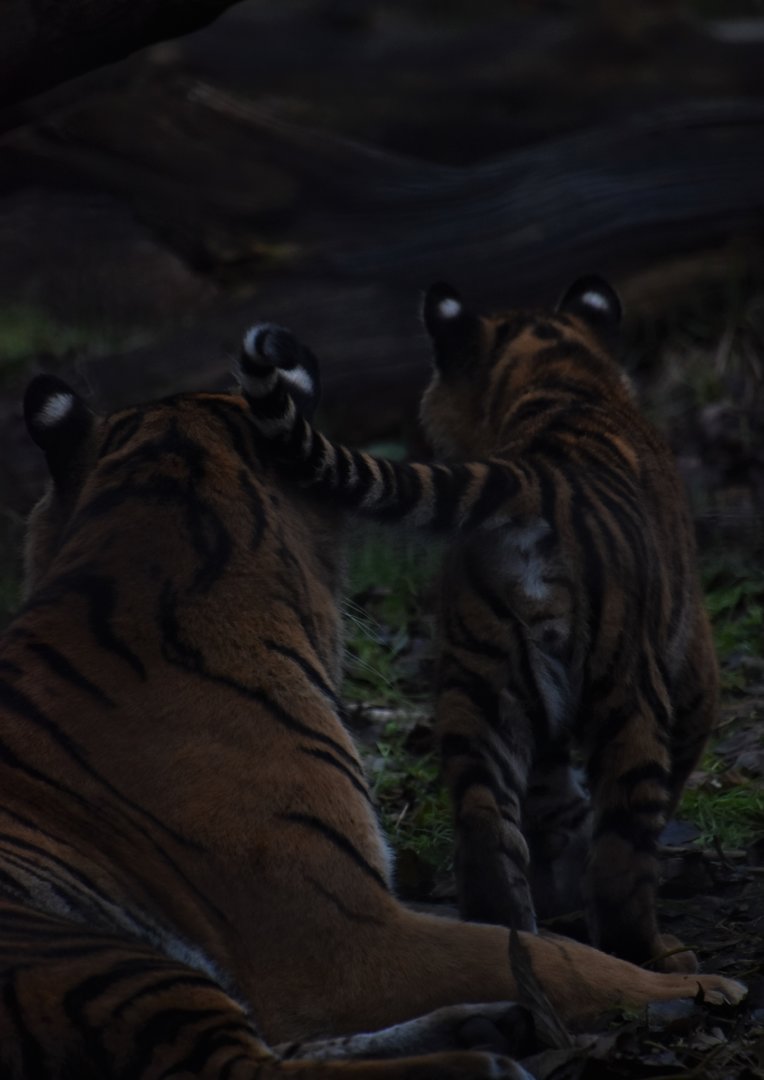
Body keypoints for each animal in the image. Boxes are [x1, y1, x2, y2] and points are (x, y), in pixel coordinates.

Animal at [237, 275, 720, 975]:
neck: (554, 376)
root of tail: (533, 479)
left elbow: (549, 804)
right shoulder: (693, 666)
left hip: (478, 688)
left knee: (487, 825)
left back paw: (514, 937)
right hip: (628, 693)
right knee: (622, 849)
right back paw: (656, 955)